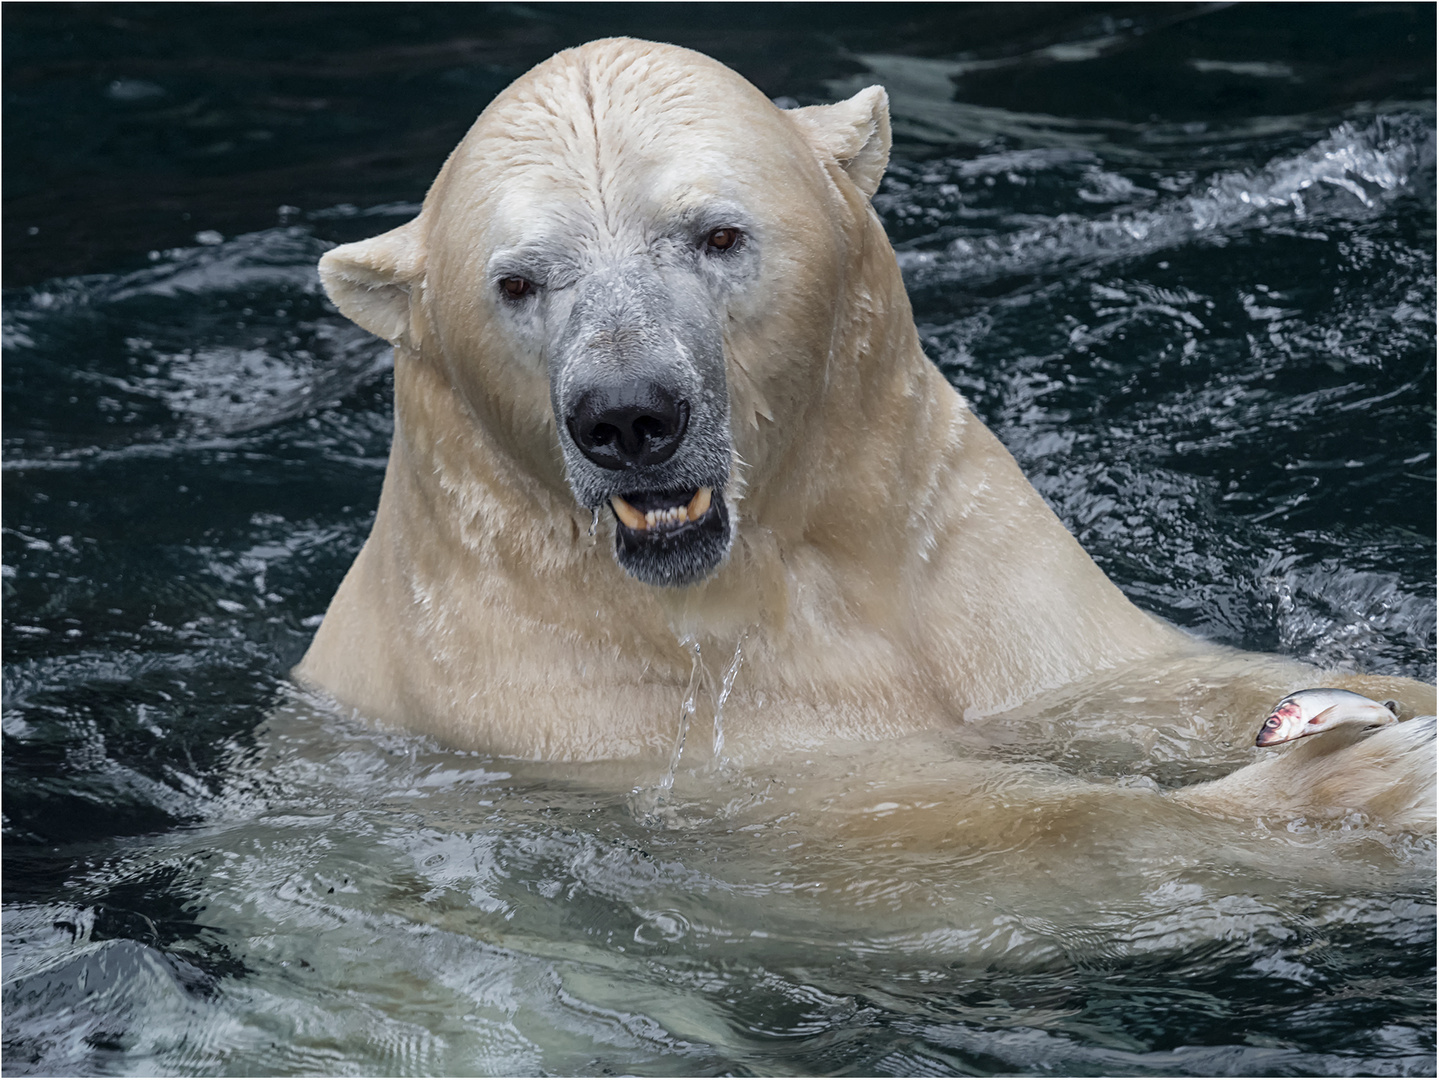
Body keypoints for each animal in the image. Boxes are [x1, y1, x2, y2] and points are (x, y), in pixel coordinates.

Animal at [297, 33, 1433, 828]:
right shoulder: (575, 708)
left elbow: (1120, 683)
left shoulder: (962, 556)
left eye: (718, 233)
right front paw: (1375, 788)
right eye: (517, 281)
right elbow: (923, 831)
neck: (764, 573)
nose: (627, 414)